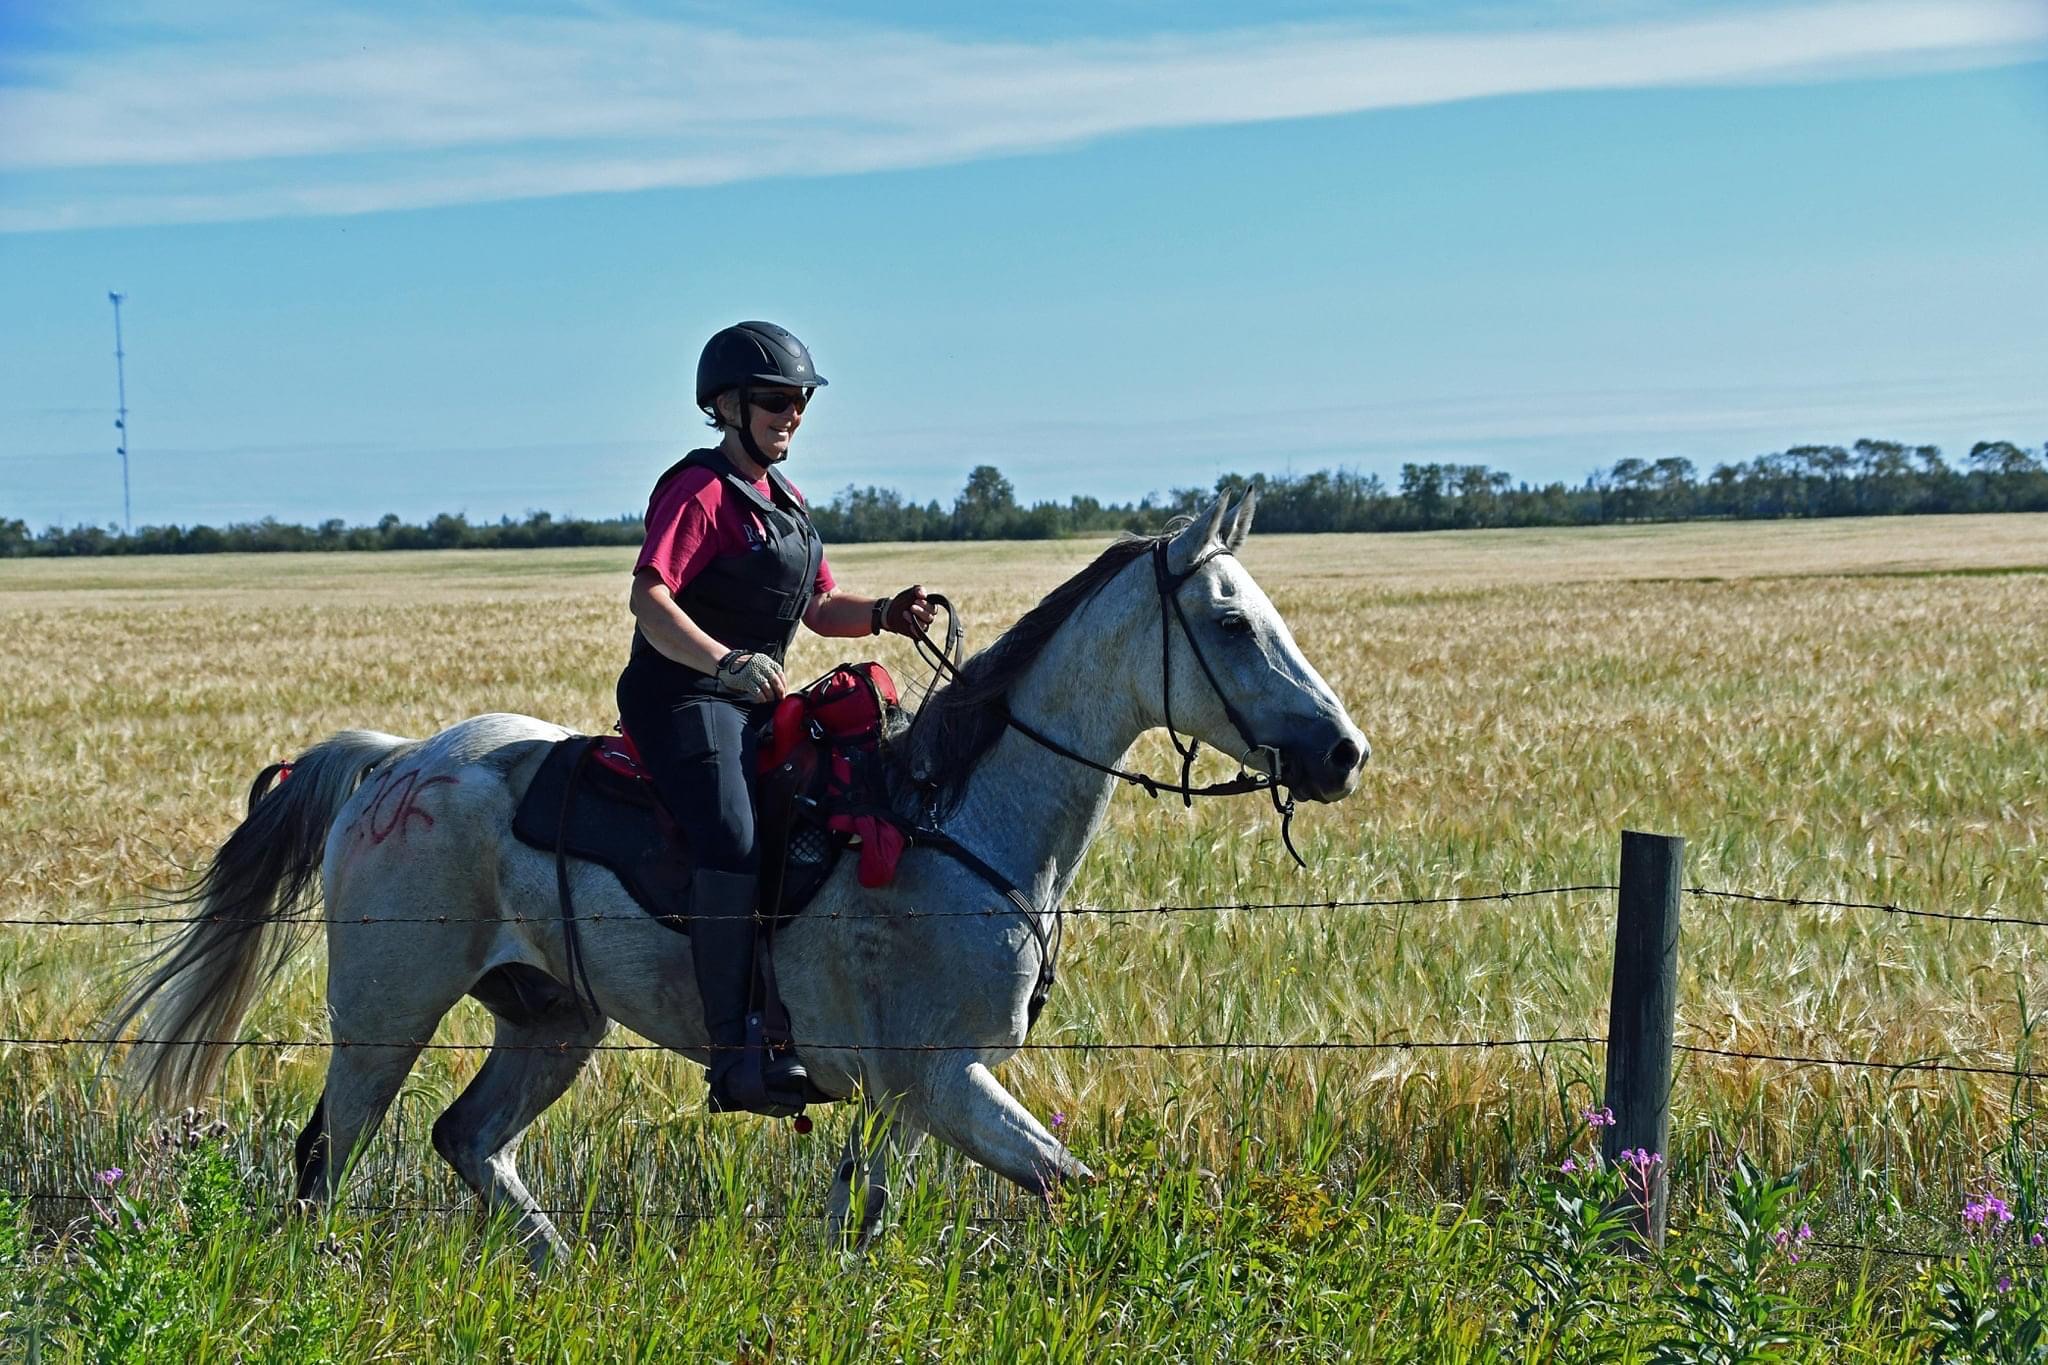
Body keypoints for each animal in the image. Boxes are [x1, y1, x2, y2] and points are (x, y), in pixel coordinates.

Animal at [108, 489, 1359, 1260]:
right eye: (1230, 624)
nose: (1340, 754)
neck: (957, 822)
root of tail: (394, 764)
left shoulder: (913, 1097)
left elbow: (869, 1218)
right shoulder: (944, 1081)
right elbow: (1073, 1184)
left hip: (551, 1017)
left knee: (466, 1138)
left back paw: (564, 1270)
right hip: (384, 1013)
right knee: (329, 1153)